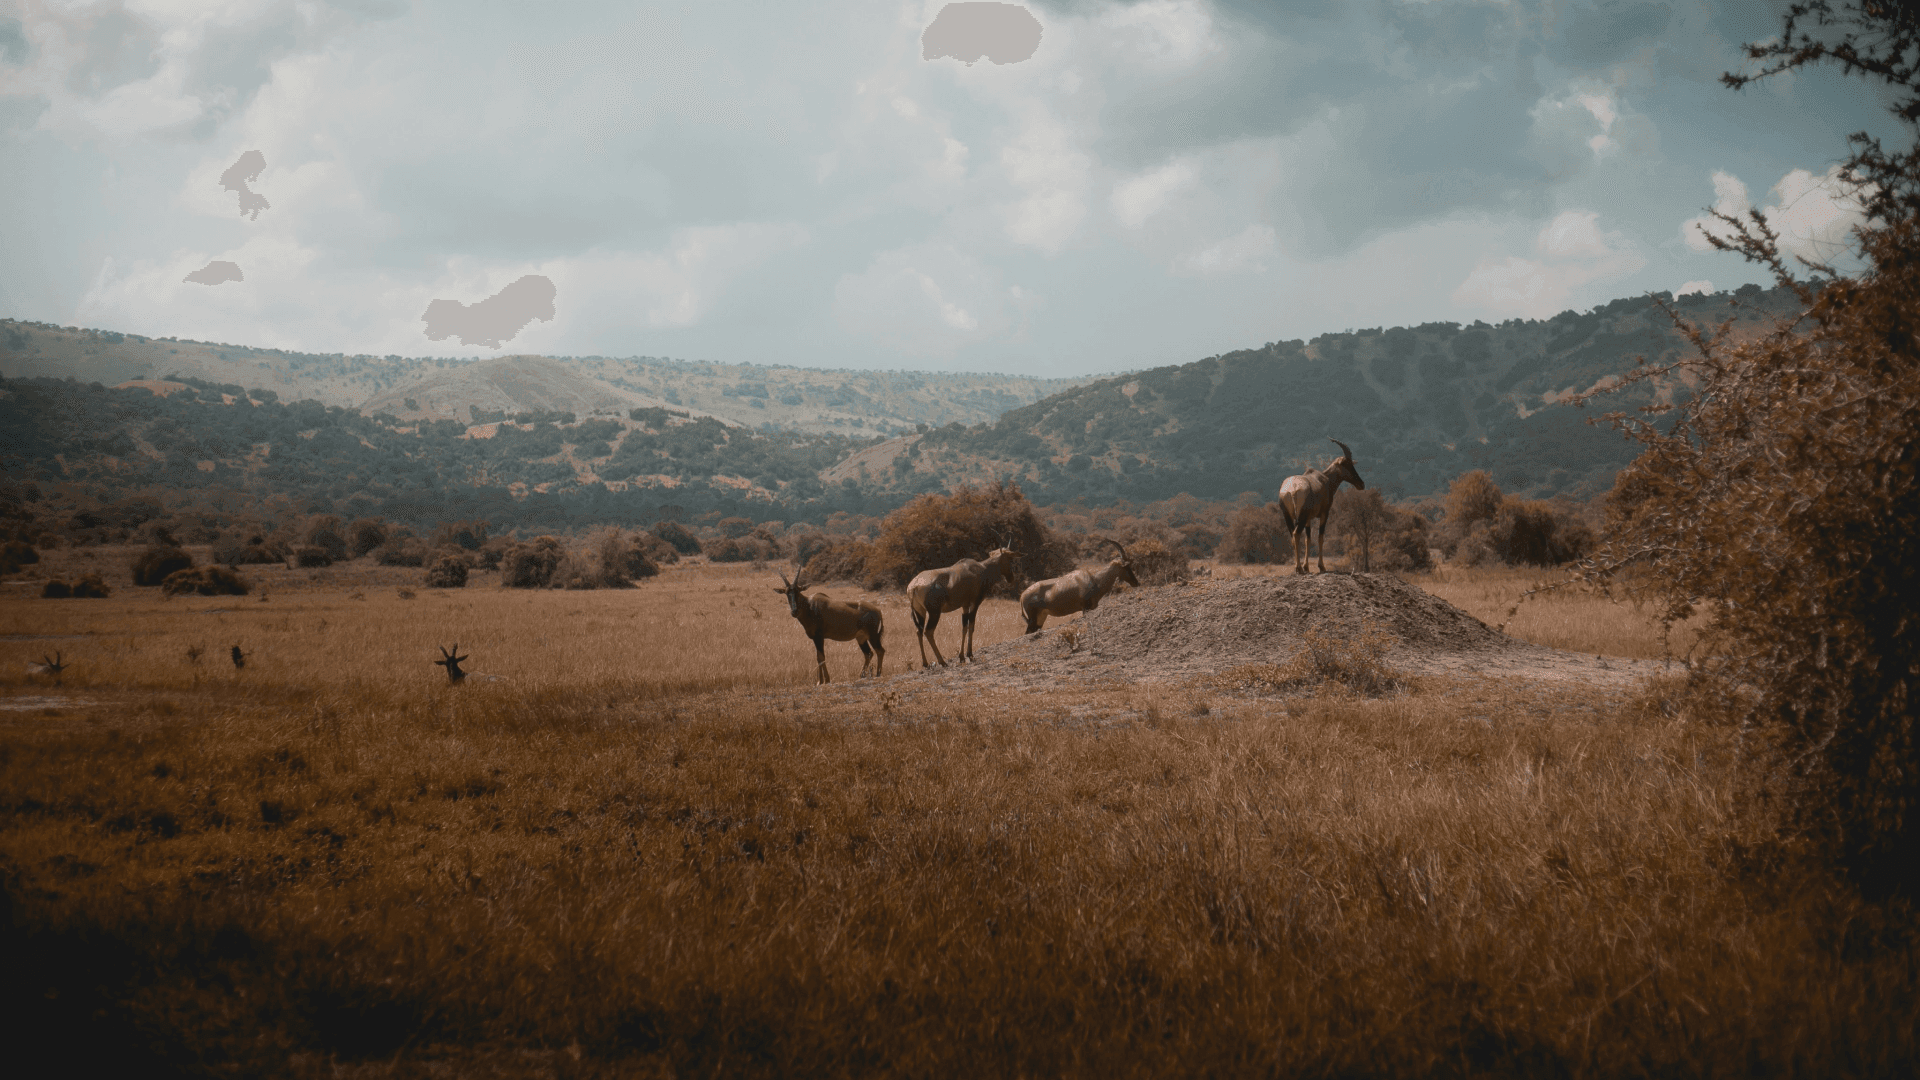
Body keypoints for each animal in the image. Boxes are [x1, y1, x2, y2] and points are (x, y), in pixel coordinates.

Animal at [1278, 438, 1366, 574]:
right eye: (1347, 464)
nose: (1361, 484)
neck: (1324, 479)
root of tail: (1292, 489)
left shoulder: (1309, 519)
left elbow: (1308, 539)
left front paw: (1307, 567)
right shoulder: (1324, 513)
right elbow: (1320, 537)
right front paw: (1321, 567)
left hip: (1288, 516)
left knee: (1293, 535)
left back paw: (1298, 568)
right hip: (1301, 517)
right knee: (1296, 534)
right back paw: (1298, 568)